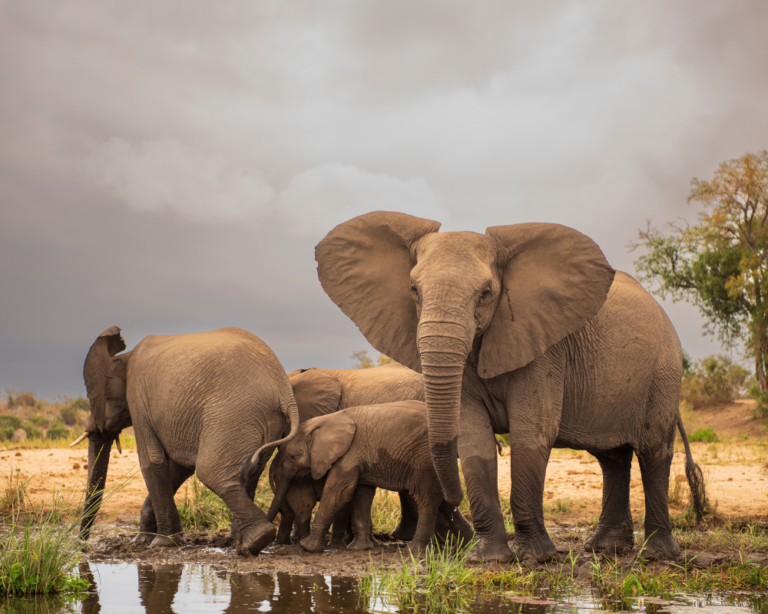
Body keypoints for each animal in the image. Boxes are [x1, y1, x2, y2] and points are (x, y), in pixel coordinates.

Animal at [77, 326, 298, 555]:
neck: (123, 357)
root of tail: (285, 392)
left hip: (234, 413)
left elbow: (152, 461)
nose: (82, 543)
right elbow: (179, 468)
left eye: (94, 399)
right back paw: (239, 544)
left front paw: (162, 543)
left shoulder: (138, 398)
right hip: (264, 421)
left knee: (211, 472)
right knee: (249, 473)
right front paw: (143, 540)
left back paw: (255, 541)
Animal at [267, 401, 472, 554]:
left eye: (292, 456)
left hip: (424, 461)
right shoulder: (359, 458)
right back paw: (467, 544)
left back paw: (414, 551)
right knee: (443, 500)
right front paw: (360, 548)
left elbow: (338, 493)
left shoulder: (349, 454)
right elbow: (361, 495)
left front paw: (307, 547)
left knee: (426, 499)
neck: (325, 421)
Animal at [314, 211, 705, 562]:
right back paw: (603, 549)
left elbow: (531, 434)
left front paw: (535, 558)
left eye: (486, 293)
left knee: (653, 451)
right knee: (612, 457)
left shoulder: (544, 348)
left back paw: (657, 555)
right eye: (413, 290)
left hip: (663, 371)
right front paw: (486, 559)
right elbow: (474, 439)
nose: (451, 505)